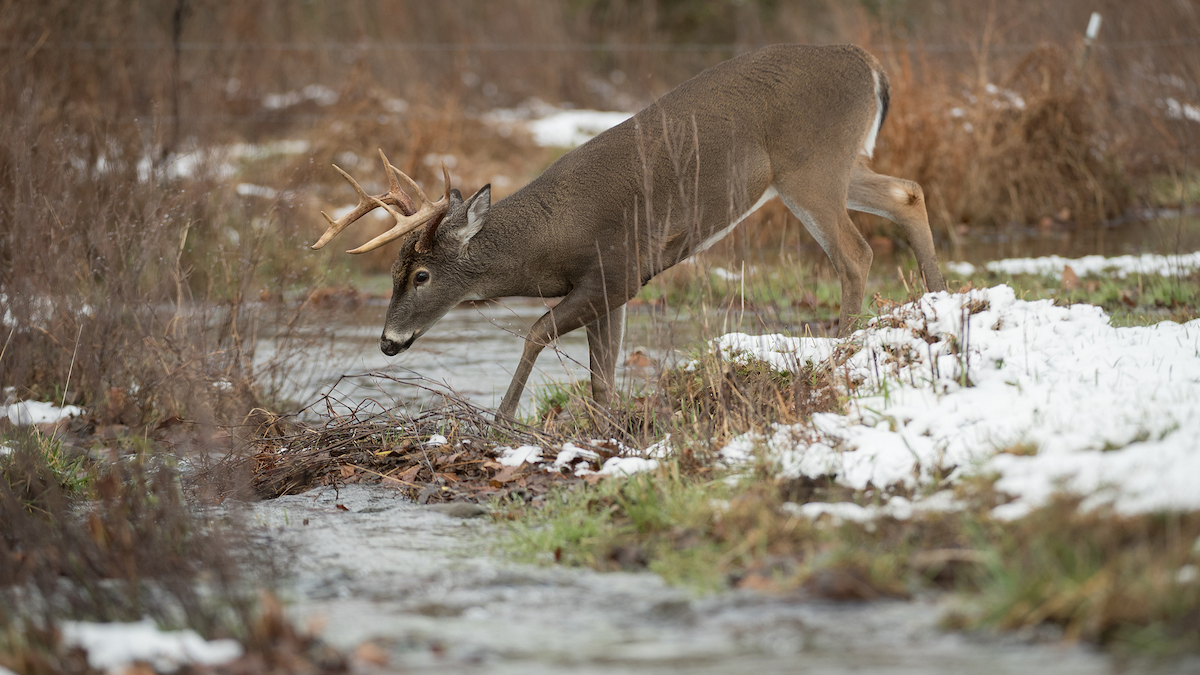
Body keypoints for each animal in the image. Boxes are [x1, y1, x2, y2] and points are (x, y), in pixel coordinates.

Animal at [312, 43, 945, 415]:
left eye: (420, 274)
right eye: (392, 273)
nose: (387, 342)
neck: (551, 238)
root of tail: (872, 67)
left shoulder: (618, 270)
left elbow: (537, 332)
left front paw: (503, 418)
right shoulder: (608, 288)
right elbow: (603, 374)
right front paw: (605, 427)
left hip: (810, 167)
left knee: (855, 253)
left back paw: (842, 346)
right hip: (832, 166)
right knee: (908, 192)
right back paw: (938, 301)